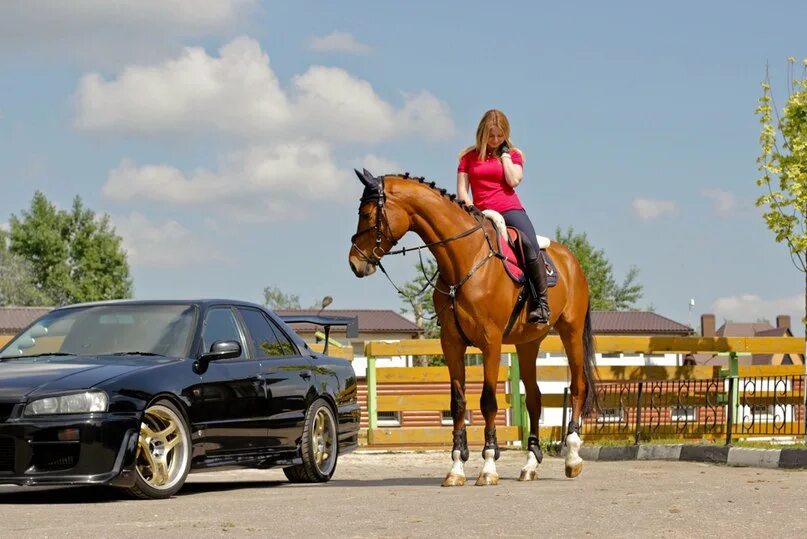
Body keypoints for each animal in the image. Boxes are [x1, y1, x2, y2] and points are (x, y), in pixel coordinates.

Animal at [350, 171, 596, 488]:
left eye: (367, 214)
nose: (355, 262)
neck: (464, 260)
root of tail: (571, 259)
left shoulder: (490, 342)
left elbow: (488, 401)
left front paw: (488, 466)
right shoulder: (452, 343)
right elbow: (458, 403)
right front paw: (456, 468)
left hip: (571, 332)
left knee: (578, 386)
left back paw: (573, 458)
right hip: (529, 343)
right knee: (534, 397)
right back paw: (530, 465)